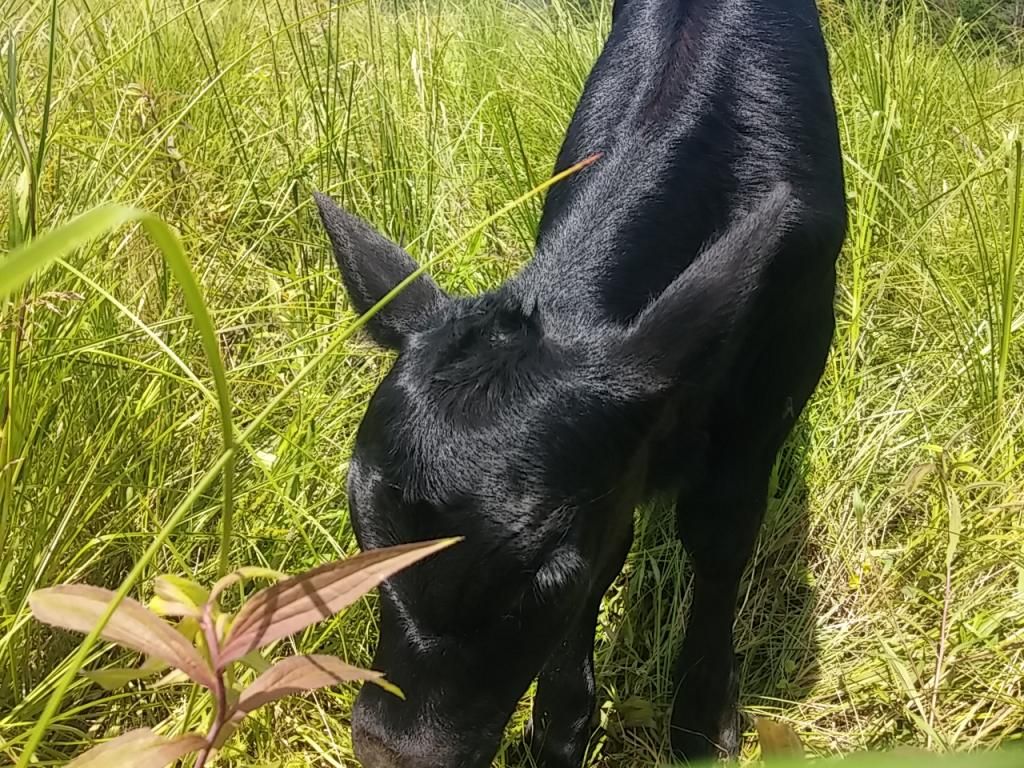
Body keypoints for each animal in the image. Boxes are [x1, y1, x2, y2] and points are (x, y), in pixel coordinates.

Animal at [312, 0, 846, 765]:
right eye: (365, 534)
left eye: (545, 577)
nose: (393, 751)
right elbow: (612, 550)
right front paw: (561, 729)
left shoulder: (772, 397)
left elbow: (719, 539)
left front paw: (701, 720)